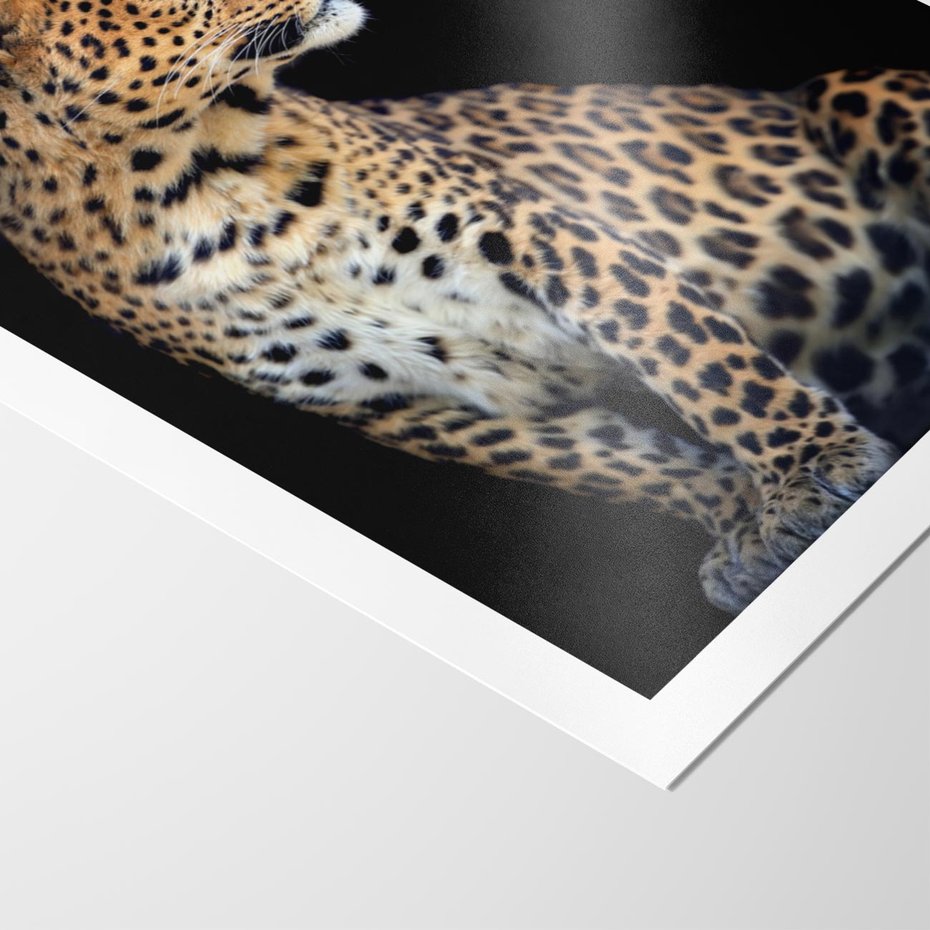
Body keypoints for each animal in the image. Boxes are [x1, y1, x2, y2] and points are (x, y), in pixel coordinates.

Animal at [1, 0, 927, 614]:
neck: (185, 171)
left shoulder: (536, 229)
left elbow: (695, 354)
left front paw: (813, 464)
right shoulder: (403, 402)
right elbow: (618, 461)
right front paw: (745, 520)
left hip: (850, 87)